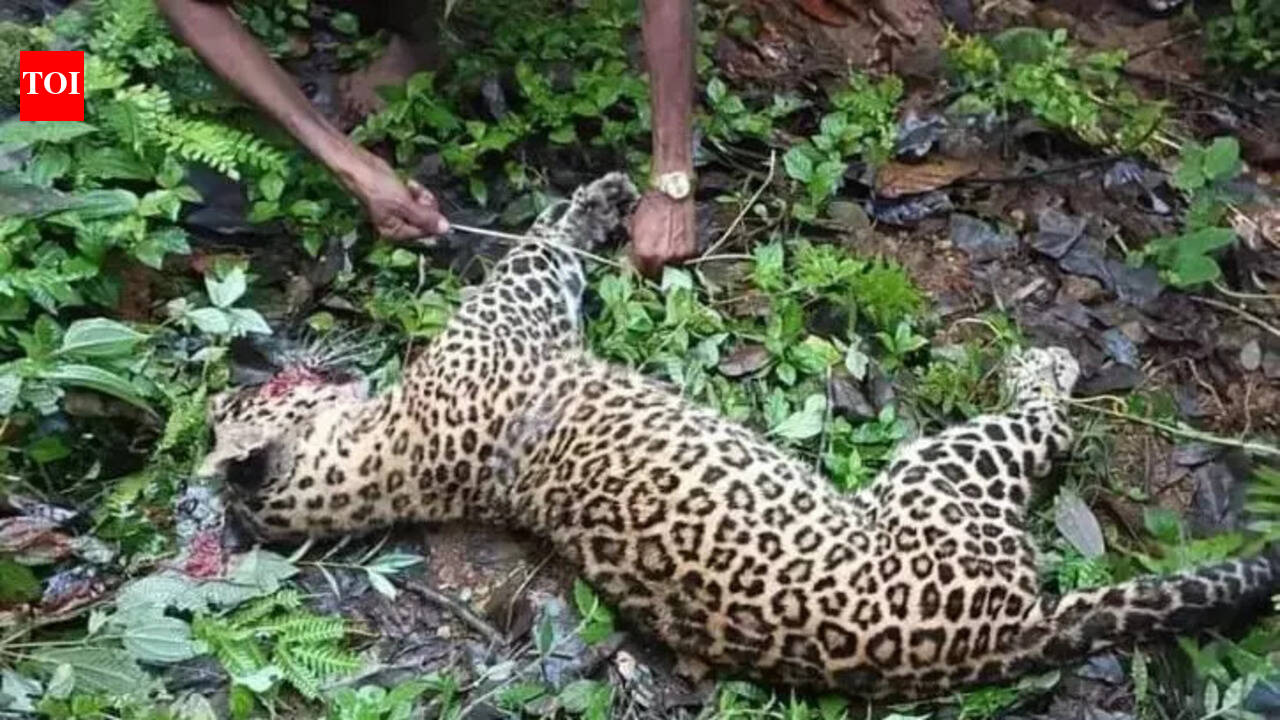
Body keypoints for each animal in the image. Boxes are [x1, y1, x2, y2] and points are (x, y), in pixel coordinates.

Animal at [200, 171, 1280, 702]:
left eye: (246, 397)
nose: (269, 365)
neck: (385, 459)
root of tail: (1010, 636)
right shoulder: (521, 304)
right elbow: (547, 243)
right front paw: (600, 197)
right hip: (937, 475)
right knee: (1039, 423)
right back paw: (1040, 365)